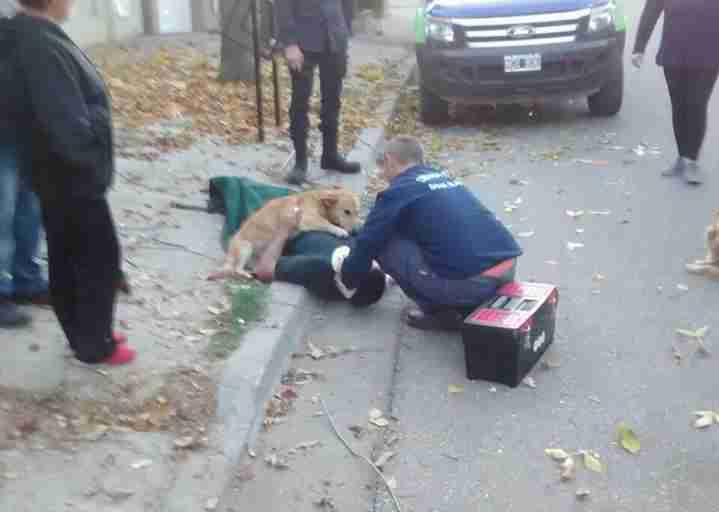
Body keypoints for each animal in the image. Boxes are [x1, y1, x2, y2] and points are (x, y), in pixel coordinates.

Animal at [208, 188, 360, 280]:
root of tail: (230, 251)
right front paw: (340, 230)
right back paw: (245, 274)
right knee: (237, 269)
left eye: (357, 212)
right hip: (245, 248)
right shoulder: (308, 218)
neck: (318, 200)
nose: (355, 231)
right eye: (347, 212)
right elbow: (326, 224)